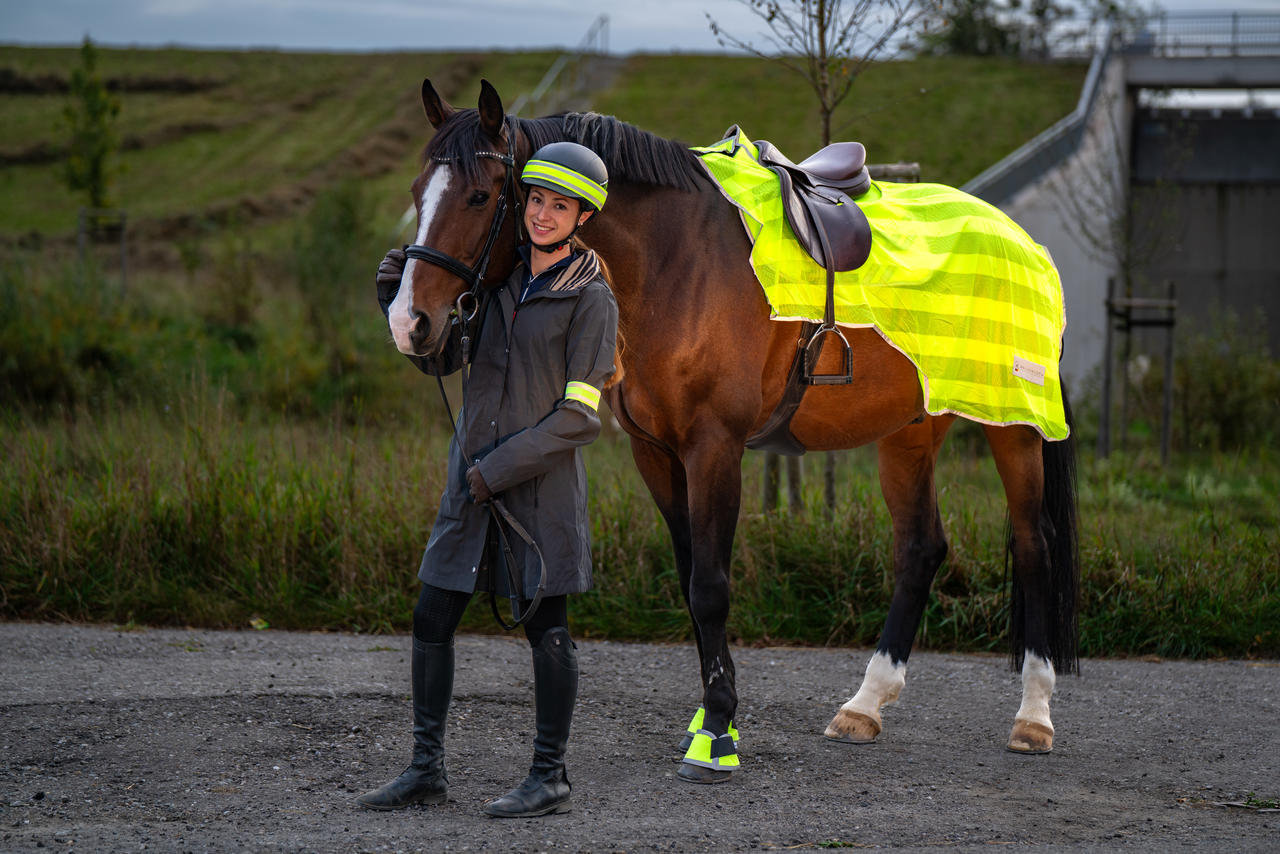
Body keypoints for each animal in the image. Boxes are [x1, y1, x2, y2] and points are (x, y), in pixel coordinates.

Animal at [386, 81, 1080, 788]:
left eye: (479, 195)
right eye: (417, 190)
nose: (411, 322)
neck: (674, 261)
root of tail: (1026, 242)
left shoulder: (714, 448)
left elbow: (711, 588)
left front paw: (717, 733)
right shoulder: (656, 454)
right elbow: (692, 579)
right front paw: (710, 716)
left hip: (1014, 429)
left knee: (1035, 547)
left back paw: (1034, 717)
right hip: (911, 431)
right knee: (920, 549)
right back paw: (865, 705)